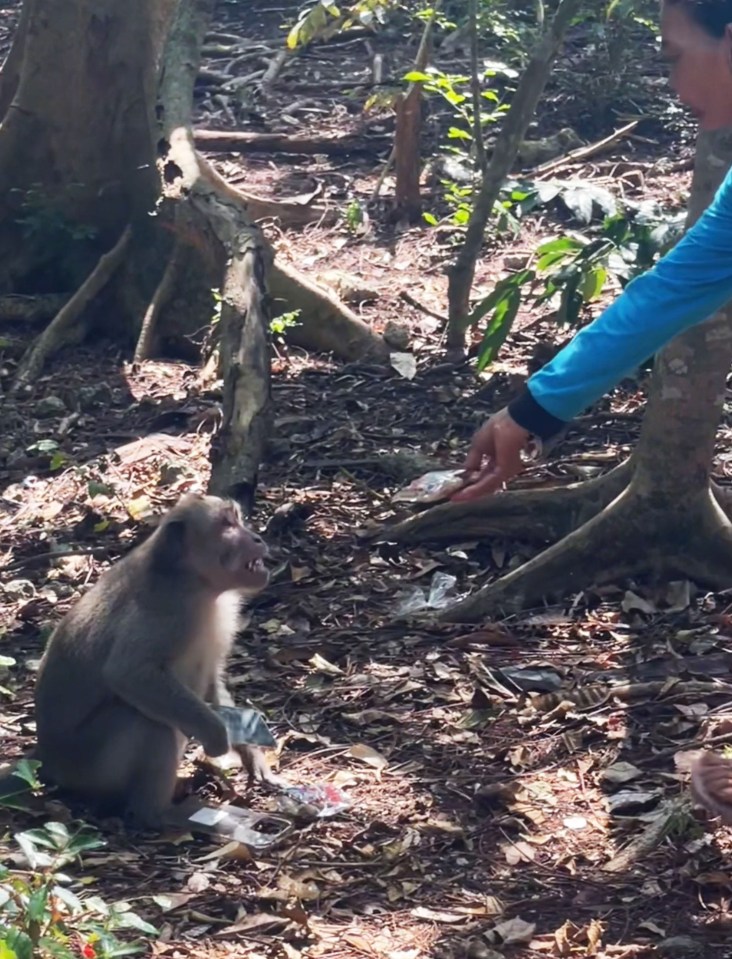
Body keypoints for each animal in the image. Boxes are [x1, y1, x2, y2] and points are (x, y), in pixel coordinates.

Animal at [31, 496, 278, 824]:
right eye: (227, 525)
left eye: (237, 518)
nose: (257, 538)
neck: (194, 580)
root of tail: (49, 765)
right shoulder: (167, 608)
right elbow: (129, 673)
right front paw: (217, 734)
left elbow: (212, 679)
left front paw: (251, 753)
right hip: (88, 765)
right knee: (145, 721)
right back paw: (160, 814)